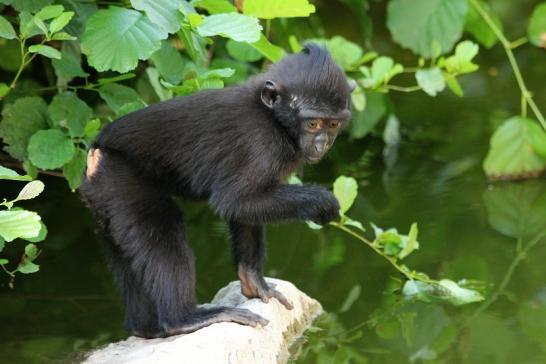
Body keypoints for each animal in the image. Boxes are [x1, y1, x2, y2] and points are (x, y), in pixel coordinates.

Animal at [81, 44, 352, 338]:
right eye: (313, 123)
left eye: (333, 124)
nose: (323, 143)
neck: (272, 118)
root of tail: (96, 153)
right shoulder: (260, 142)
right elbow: (236, 201)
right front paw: (323, 202)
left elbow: (246, 211)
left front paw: (253, 281)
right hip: (121, 180)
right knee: (162, 230)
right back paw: (183, 319)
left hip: (104, 197)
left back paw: (144, 328)